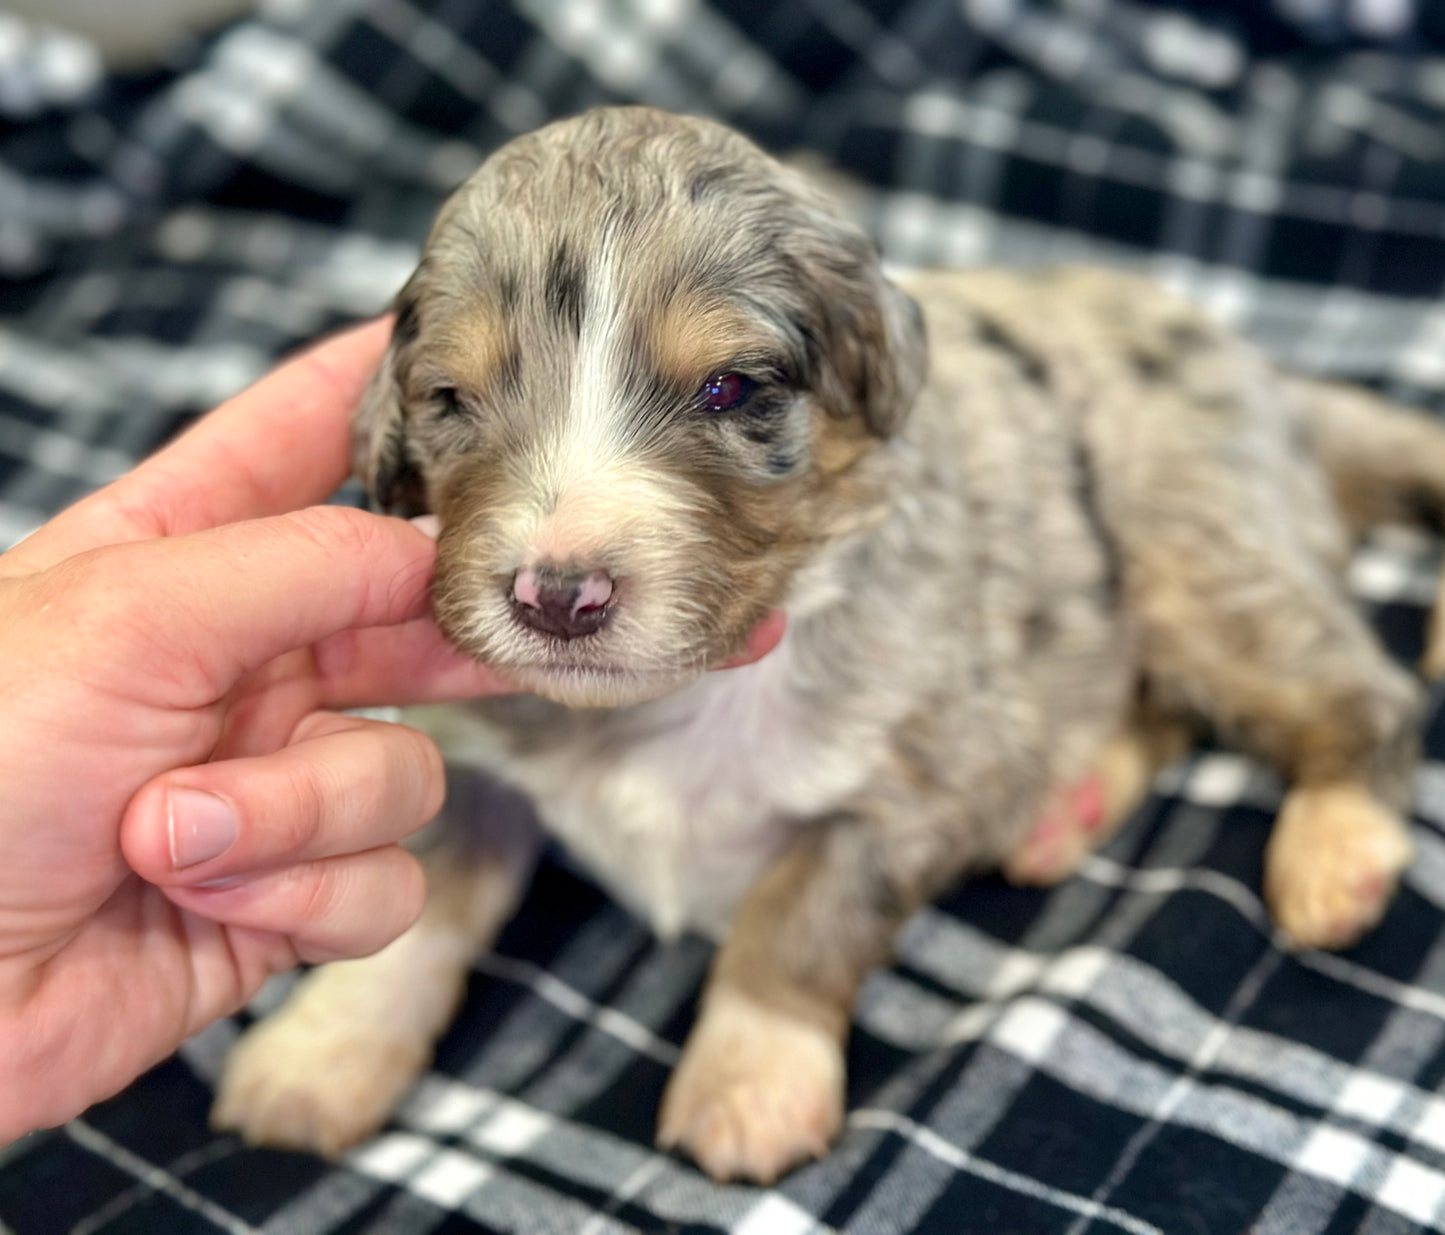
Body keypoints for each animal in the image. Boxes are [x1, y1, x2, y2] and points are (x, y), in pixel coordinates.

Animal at [210, 111, 1445, 1184]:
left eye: (728, 387)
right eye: (451, 399)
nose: (557, 595)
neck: (665, 703)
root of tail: (1265, 374)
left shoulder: (910, 784)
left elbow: (797, 918)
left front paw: (748, 1080)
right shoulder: (466, 754)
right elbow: (420, 908)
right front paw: (318, 1053)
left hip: (1196, 550)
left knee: (1363, 695)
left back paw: (1333, 850)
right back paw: (1067, 806)